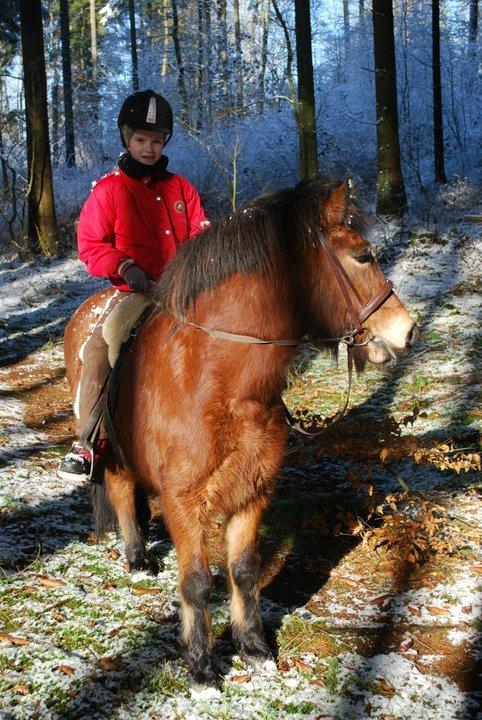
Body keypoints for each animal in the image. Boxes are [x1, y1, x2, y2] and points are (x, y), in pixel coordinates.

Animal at [64, 179, 418, 680]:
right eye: (363, 256)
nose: (408, 331)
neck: (219, 381)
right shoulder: (182, 501)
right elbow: (196, 582)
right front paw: (201, 666)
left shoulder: (255, 491)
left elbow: (245, 570)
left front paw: (252, 646)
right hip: (108, 445)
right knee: (118, 488)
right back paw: (136, 556)